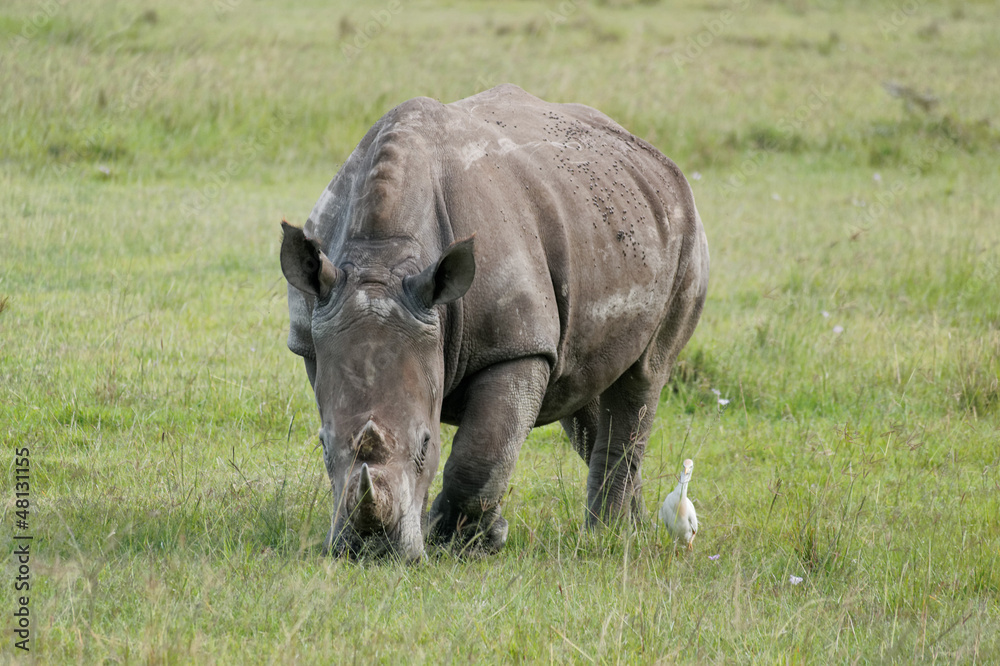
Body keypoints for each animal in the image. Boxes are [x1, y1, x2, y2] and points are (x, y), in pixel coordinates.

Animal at [280, 84, 709, 562]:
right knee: (584, 387)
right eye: (320, 444)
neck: (382, 258)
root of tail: (655, 157)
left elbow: (482, 452)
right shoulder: (314, 335)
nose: (371, 553)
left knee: (645, 374)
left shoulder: (516, 344)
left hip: (685, 233)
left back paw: (608, 536)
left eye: (427, 443)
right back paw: (632, 527)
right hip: (604, 212)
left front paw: (462, 544)